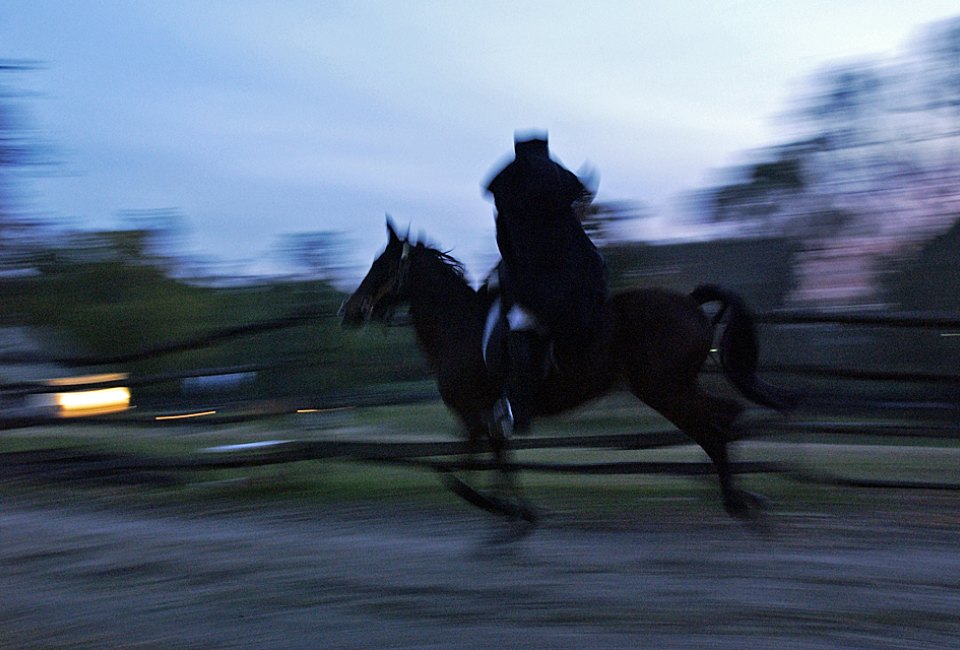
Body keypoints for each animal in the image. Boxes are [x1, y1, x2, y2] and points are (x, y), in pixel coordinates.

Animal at [342, 220, 792, 524]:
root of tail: (689, 302)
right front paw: (516, 512)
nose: (349, 311)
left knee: (718, 421)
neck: (459, 328)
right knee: (719, 421)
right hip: (670, 388)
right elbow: (497, 460)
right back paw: (738, 496)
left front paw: (499, 508)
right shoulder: (487, 416)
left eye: (381, 265)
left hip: (664, 389)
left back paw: (736, 499)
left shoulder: (473, 414)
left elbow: (459, 469)